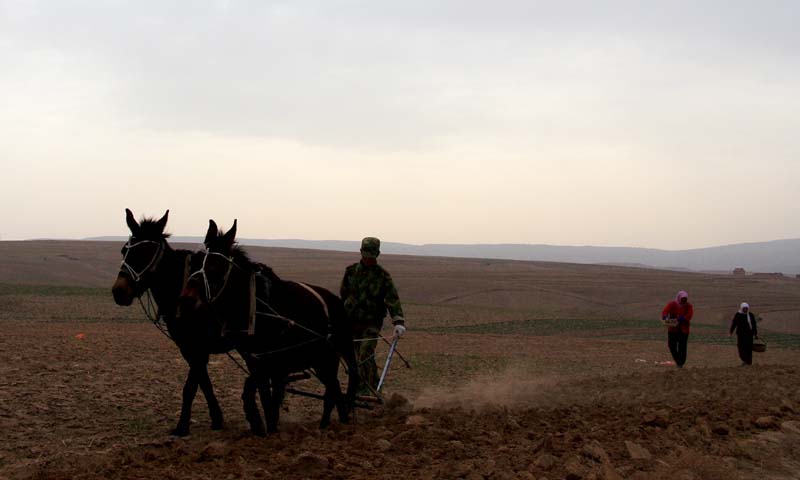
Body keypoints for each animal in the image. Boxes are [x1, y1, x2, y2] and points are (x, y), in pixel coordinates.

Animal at [111, 208, 234, 436]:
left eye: (146, 252)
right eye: (124, 251)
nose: (119, 291)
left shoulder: (198, 346)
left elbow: (191, 386)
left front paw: (182, 426)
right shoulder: (188, 348)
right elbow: (203, 382)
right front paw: (217, 419)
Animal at [181, 219, 360, 434]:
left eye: (217, 264)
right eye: (197, 261)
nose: (187, 299)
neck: (257, 306)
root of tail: (336, 301)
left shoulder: (272, 361)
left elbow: (264, 395)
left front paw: (264, 425)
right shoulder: (255, 359)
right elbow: (262, 394)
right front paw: (264, 426)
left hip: (336, 352)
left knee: (341, 384)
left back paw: (334, 422)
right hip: (321, 358)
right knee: (333, 388)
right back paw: (332, 422)